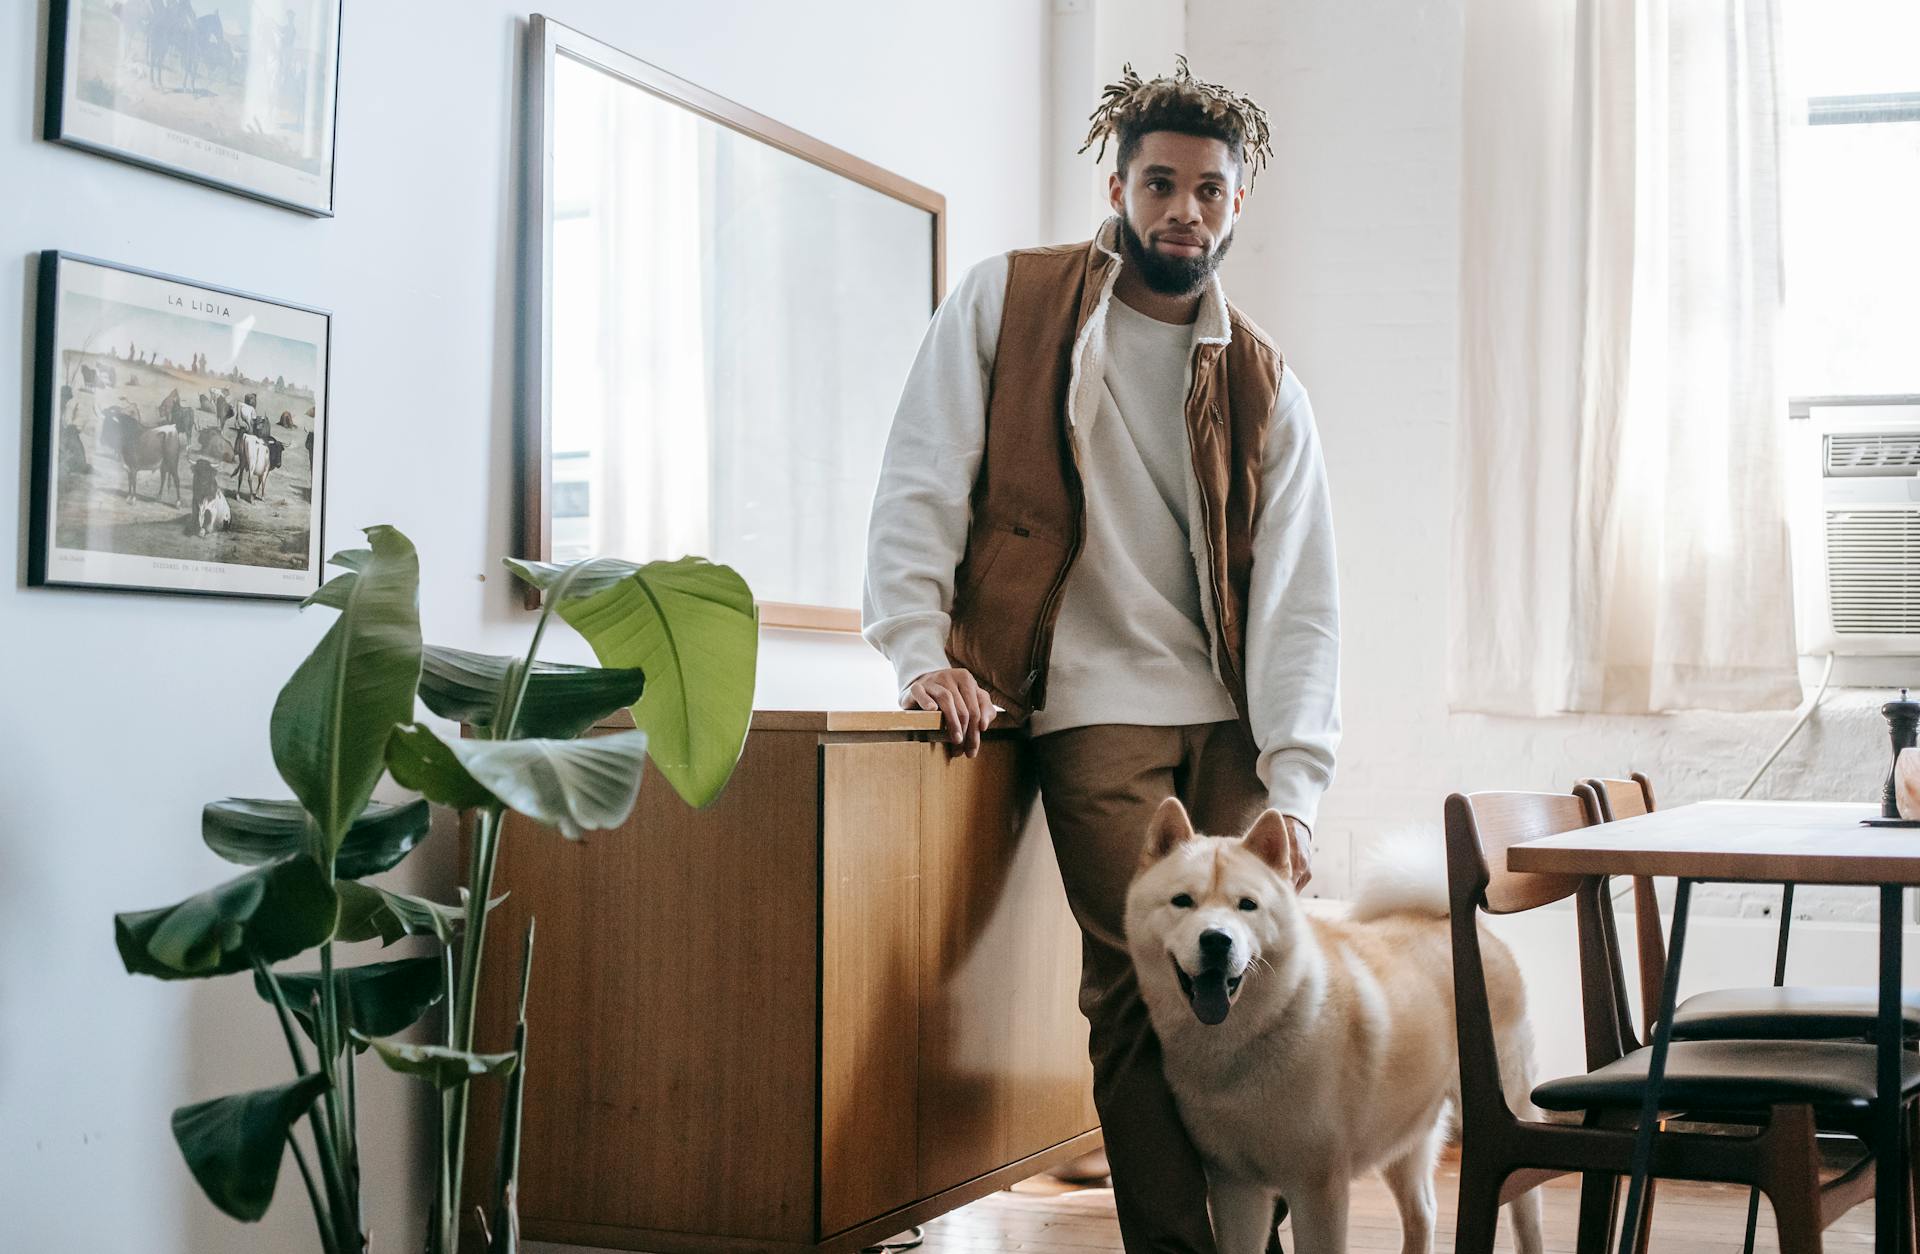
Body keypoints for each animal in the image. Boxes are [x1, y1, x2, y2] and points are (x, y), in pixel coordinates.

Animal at [1121, 798, 1543, 1252]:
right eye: (1182, 901)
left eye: (1247, 905)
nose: (1217, 939)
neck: (1247, 1037)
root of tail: (1453, 919)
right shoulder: (1235, 1186)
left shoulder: (1317, 1188)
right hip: (1403, 1135)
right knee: (1423, 1212)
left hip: (1504, 1114)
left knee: (1525, 1209)